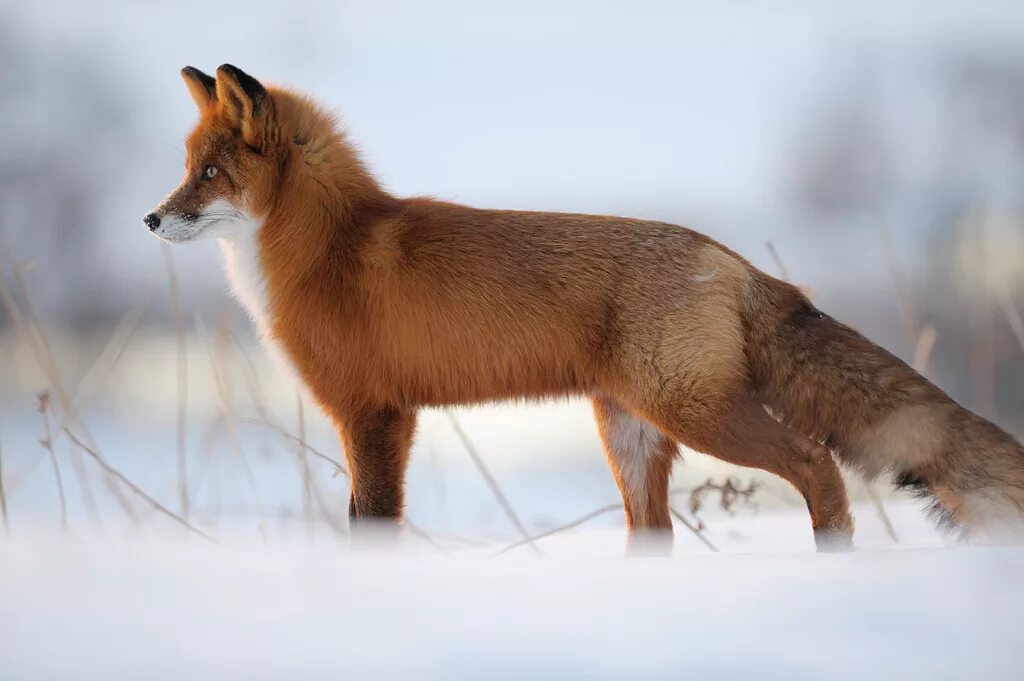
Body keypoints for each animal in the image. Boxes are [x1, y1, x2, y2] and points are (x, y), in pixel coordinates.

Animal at [147, 64, 1024, 552]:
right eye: (187, 167)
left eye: (212, 173)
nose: (152, 219)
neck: (329, 244)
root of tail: (726, 257)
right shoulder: (382, 415)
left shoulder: (375, 413)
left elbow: (372, 522)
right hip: (632, 433)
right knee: (655, 530)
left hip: (693, 413)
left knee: (817, 465)